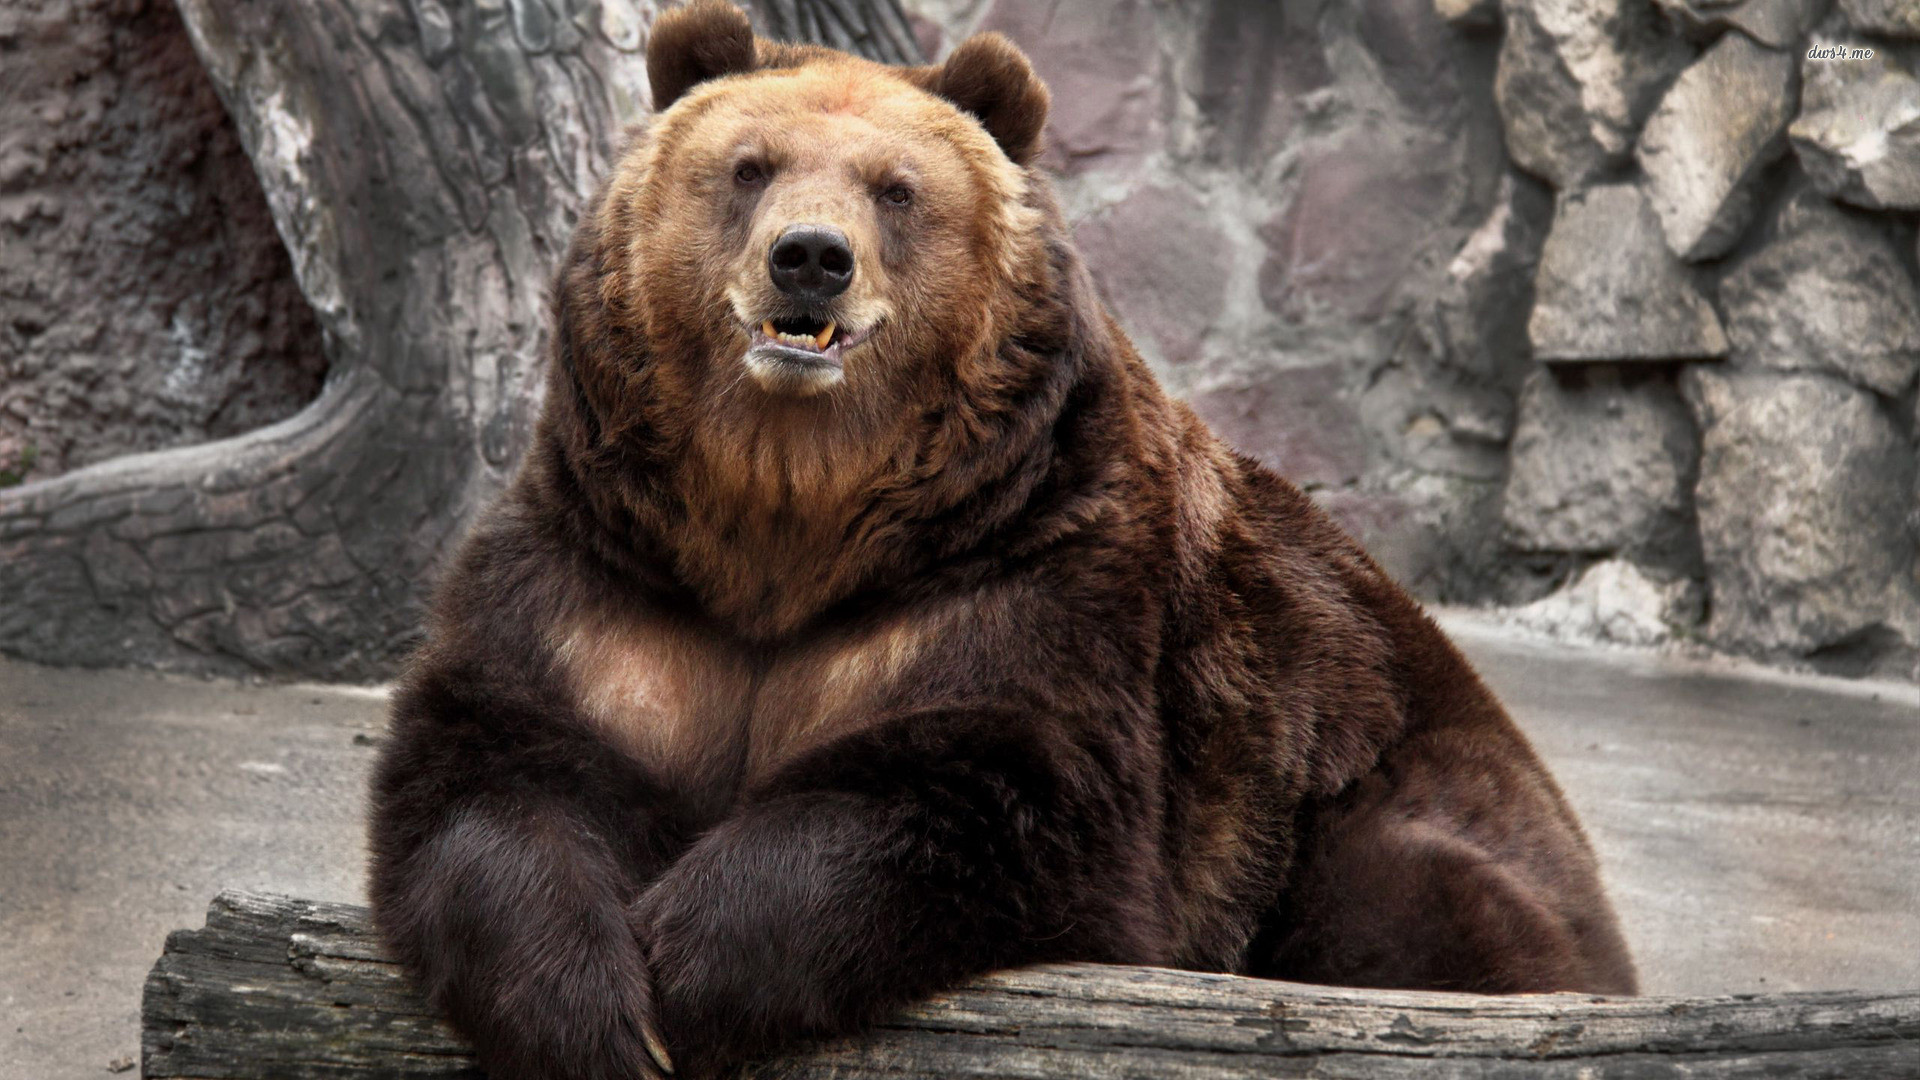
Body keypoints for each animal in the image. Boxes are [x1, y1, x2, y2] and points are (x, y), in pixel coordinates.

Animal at [367, 3, 1638, 1078]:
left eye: (895, 189)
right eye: (749, 167)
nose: (809, 255)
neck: (785, 522)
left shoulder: (1027, 571)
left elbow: (978, 786)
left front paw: (683, 971)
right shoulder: (615, 580)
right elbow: (499, 768)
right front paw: (588, 1012)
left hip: (1374, 787)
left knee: (1427, 909)